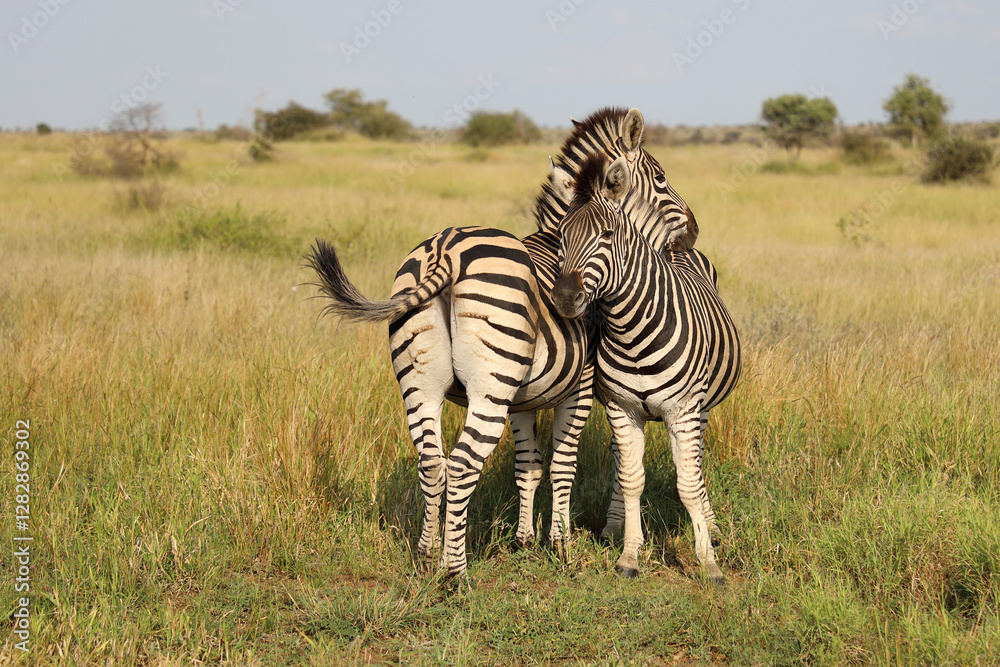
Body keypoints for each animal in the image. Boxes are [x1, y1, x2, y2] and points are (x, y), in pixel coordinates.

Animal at [308, 107, 698, 578]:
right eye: (660, 177)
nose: (694, 231)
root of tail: (445, 249)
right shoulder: (579, 390)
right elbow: (561, 465)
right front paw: (561, 545)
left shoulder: (522, 400)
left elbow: (527, 465)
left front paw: (525, 539)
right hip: (488, 389)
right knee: (461, 465)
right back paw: (454, 572)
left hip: (419, 384)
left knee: (432, 462)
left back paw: (426, 555)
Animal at [550, 153, 742, 586]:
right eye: (561, 237)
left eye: (606, 235)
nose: (566, 299)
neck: (633, 329)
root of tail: (678, 247)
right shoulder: (623, 409)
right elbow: (631, 479)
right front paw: (629, 555)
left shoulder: (684, 410)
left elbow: (688, 484)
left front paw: (709, 564)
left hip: (700, 409)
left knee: (696, 462)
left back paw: (711, 527)